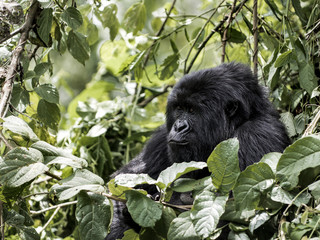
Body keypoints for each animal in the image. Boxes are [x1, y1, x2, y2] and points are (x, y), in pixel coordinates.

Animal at [105, 62, 290, 239]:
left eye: (192, 110)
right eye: (179, 108)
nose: (178, 127)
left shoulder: (258, 135)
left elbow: (243, 216)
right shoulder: (161, 137)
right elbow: (122, 181)